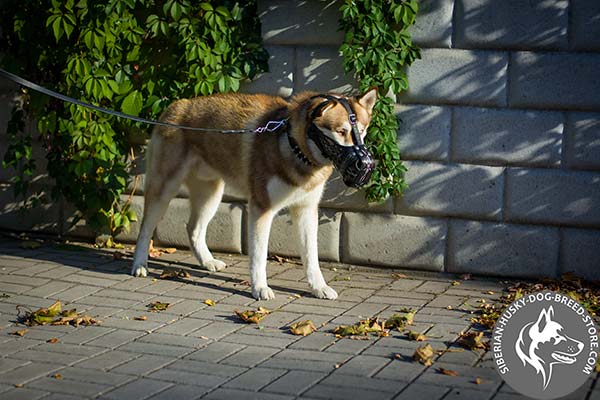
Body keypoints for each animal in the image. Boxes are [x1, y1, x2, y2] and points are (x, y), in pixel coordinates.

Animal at [131, 88, 378, 300]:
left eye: (362, 131)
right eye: (341, 131)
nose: (365, 164)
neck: (295, 147)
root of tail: (176, 105)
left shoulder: (306, 211)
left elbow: (311, 257)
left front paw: (319, 287)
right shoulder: (261, 209)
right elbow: (259, 257)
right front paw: (259, 288)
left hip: (211, 195)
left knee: (193, 229)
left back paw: (208, 261)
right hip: (163, 189)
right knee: (145, 229)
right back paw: (140, 265)